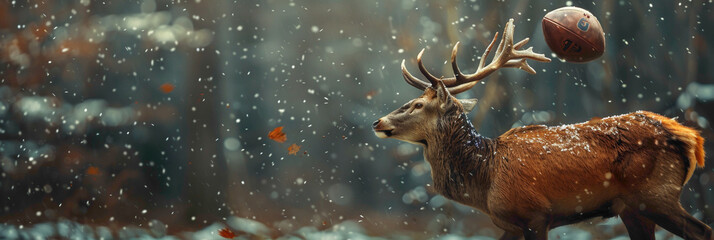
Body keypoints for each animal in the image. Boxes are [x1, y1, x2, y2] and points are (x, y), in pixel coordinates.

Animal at [372, 19, 708, 240]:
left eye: (417, 104)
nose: (378, 122)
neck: (485, 178)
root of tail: (689, 137)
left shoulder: (535, 214)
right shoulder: (509, 224)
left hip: (655, 194)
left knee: (702, 231)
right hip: (632, 208)